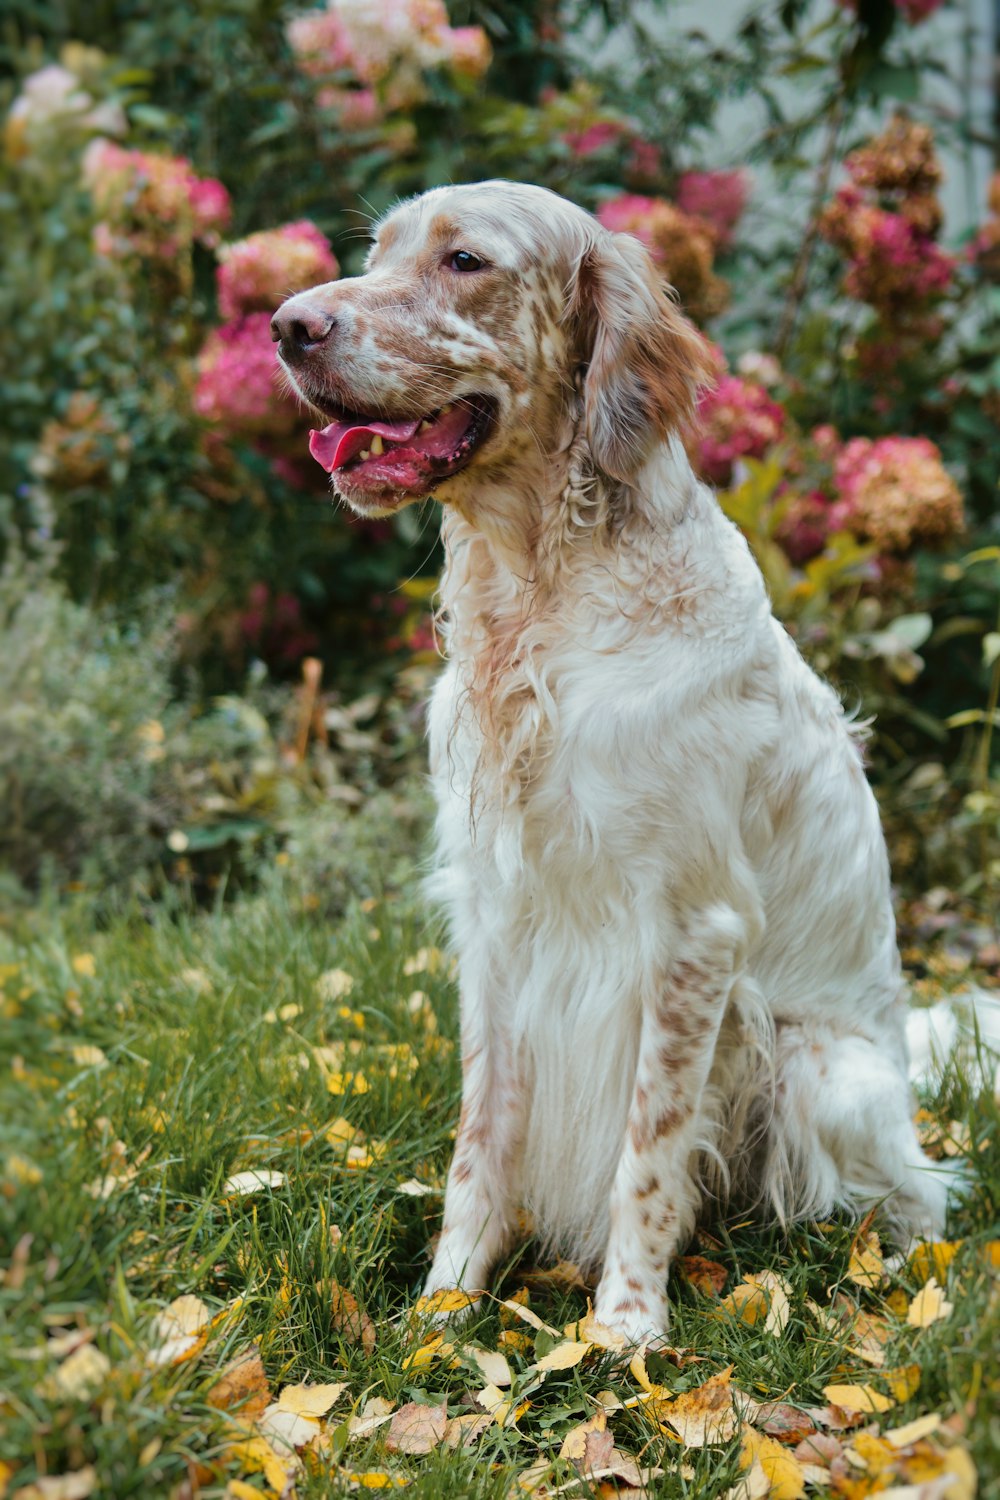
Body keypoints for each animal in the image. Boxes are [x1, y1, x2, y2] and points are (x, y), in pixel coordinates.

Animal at [274, 178, 947, 1350]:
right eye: (380, 252)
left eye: (464, 261)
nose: (284, 327)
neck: (538, 603)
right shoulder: (498, 925)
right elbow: (481, 1140)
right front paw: (446, 1304)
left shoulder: (689, 932)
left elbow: (649, 1147)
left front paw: (626, 1330)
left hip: (821, 1068)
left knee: (914, 1197)